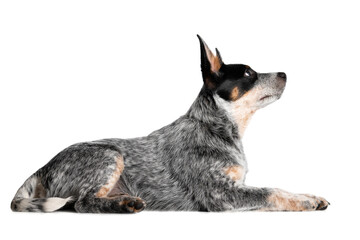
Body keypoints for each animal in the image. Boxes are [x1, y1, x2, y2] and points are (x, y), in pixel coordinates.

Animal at [9, 35, 330, 212]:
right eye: (249, 74)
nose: (285, 73)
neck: (215, 128)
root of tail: (43, 166)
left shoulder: (237, 183)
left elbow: (282, 188)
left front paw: (310, 195)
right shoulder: (223, 194)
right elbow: (272, 191)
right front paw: (306, 203)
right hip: (109, 155)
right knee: (82, 203)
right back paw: (124, 206)